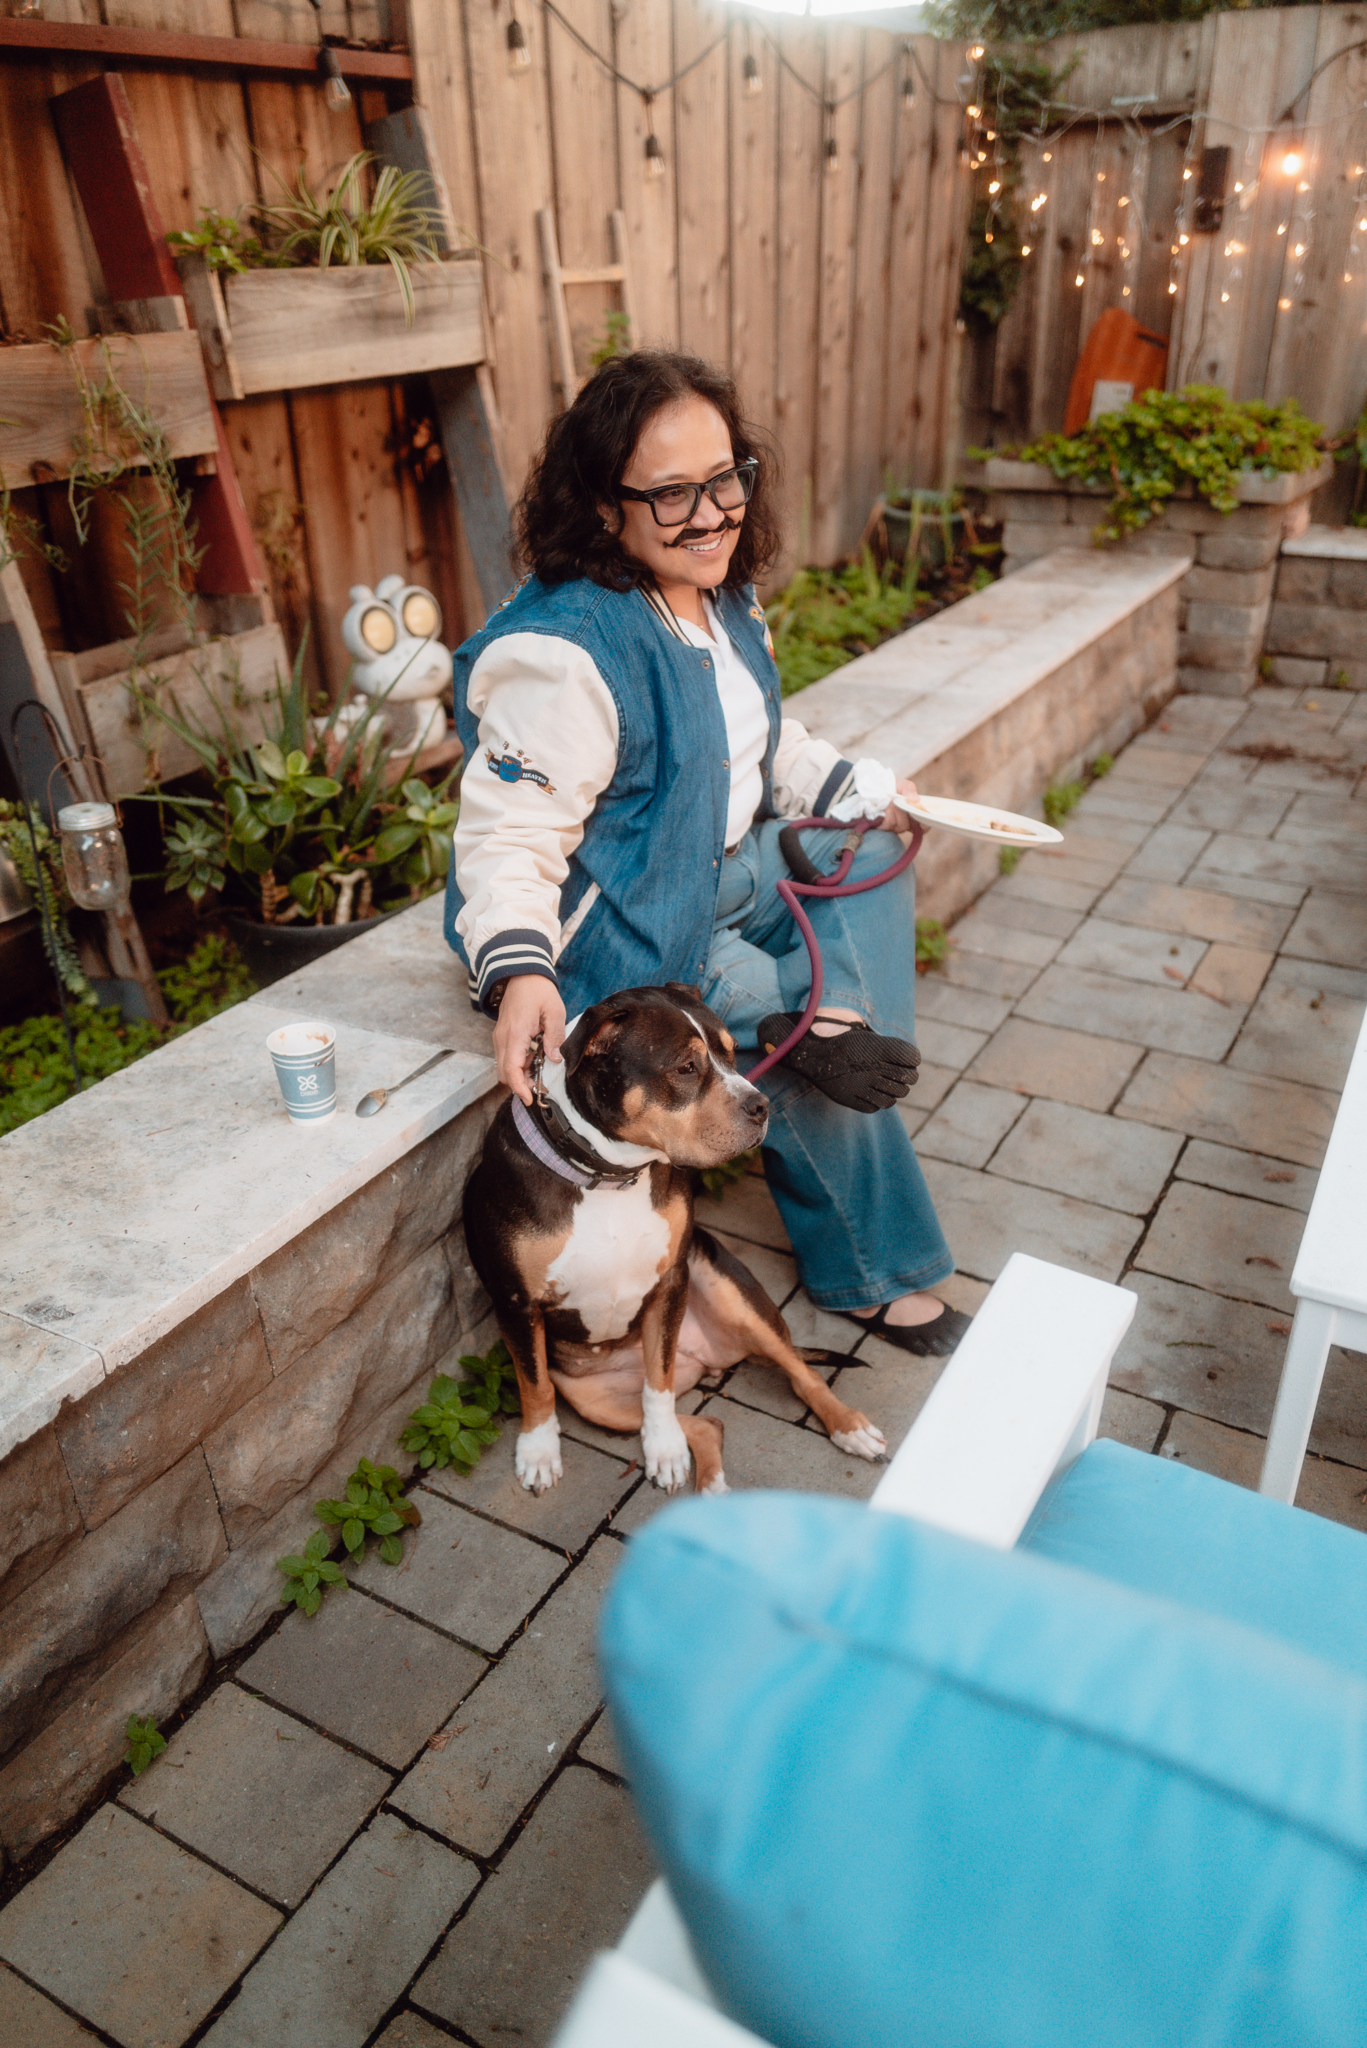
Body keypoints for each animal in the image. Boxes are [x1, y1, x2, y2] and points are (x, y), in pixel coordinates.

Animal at [463, 982, 888, 1495]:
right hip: (598, 1403)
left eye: (732, 1054)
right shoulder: (516, 1303)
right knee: (707, 1424)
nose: (761, 1105)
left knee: (800, 1372)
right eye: (686, 1067)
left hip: (729, 1291)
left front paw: (664, 1446)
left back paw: (849, 1427)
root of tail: (706, 1360)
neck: (610, 1176)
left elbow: (659, 1384)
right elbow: (535, 1385)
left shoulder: (669, 1284)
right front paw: (539, 1451)